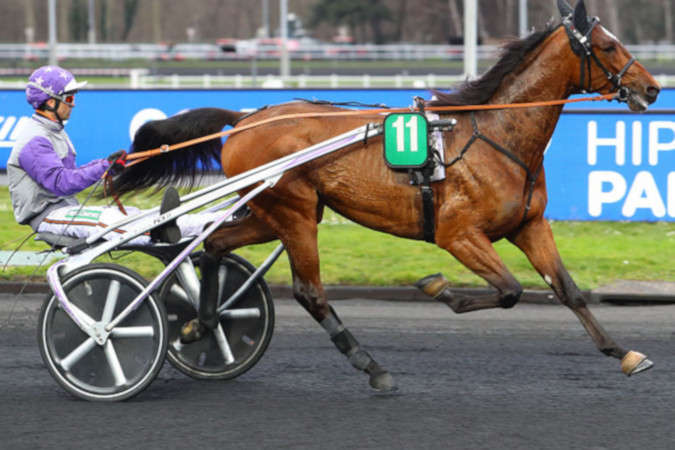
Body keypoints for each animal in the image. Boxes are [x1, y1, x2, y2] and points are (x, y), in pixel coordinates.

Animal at [112, 0, 660, 391]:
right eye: (607, 46)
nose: (652, 88)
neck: (494, 136)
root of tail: (246, 117)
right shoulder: (458, 233)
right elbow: (509, 290)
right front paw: (439, 289)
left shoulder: (529, 224)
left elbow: (566, 290)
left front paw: (625, 354)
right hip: (293, 212)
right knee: (310, 291)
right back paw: (371, 366)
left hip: (276, 212)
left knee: (214, 246)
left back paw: (199, 326)